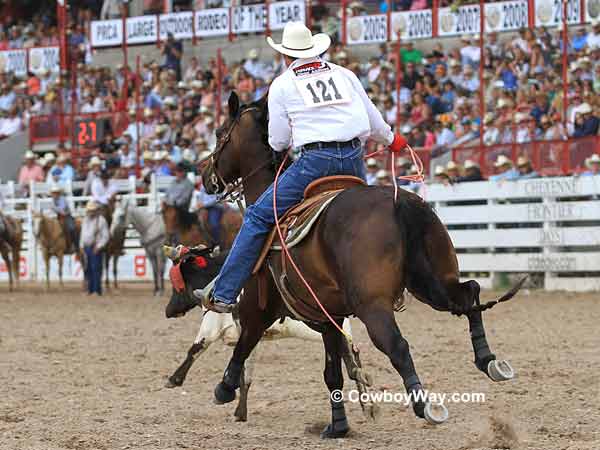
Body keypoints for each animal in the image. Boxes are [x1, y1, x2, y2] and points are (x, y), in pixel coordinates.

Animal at [199, 92, 524, 440]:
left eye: (220, 133)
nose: (204, 175)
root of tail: (398, 201)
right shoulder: (330, 317)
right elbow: (333, 373)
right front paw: (338, 426)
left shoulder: (258, 307)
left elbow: (245, 341)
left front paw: (225, 387)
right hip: (432, 283)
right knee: (469, 294)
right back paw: (489, 360)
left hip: (373, 305)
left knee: (397, 345)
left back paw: (426, 406)